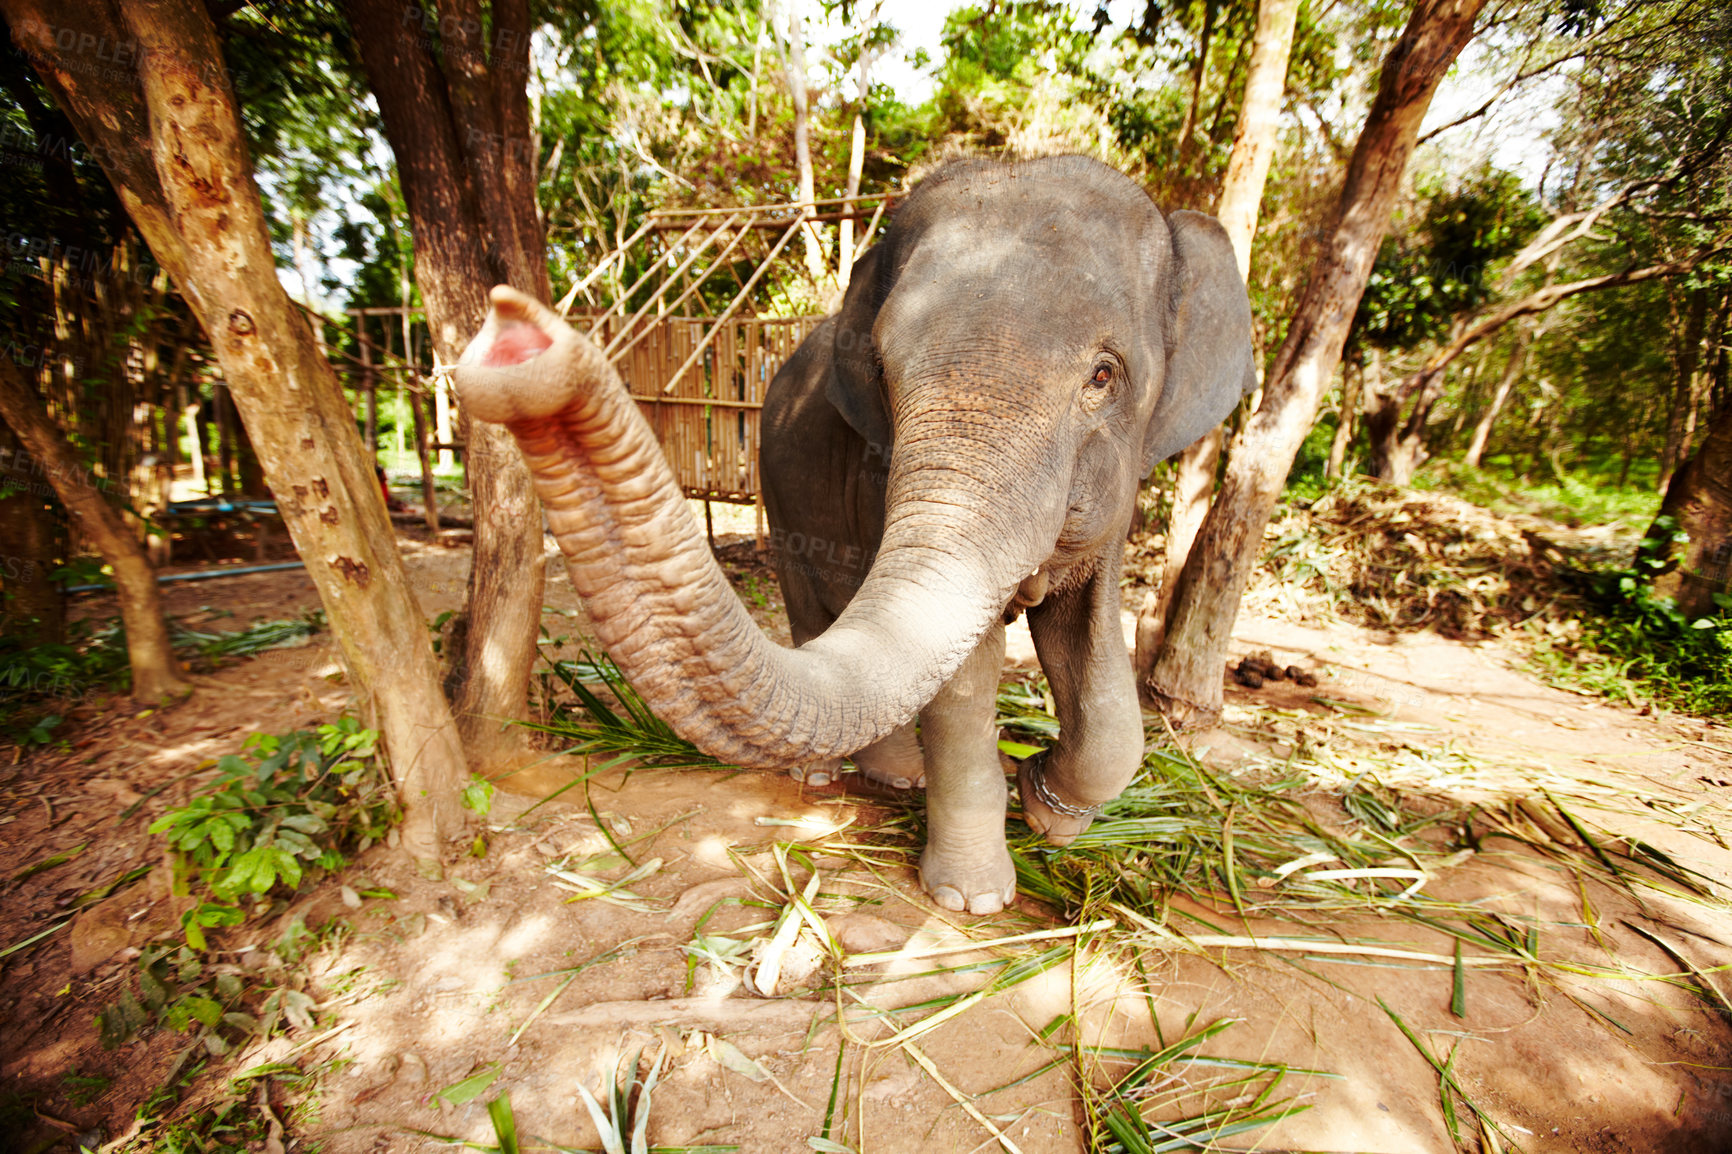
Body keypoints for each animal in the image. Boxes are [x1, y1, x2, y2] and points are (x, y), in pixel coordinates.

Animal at [453, 152, 1253, 914]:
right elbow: (965, 671)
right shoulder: (876, 474)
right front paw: (972, 899)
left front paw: (1046, 808)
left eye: (1103, 375)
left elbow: (1090, 649)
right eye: (881, 369)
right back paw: (848, 777)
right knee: (812, 605)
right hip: (777, 490)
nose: (517, 336)